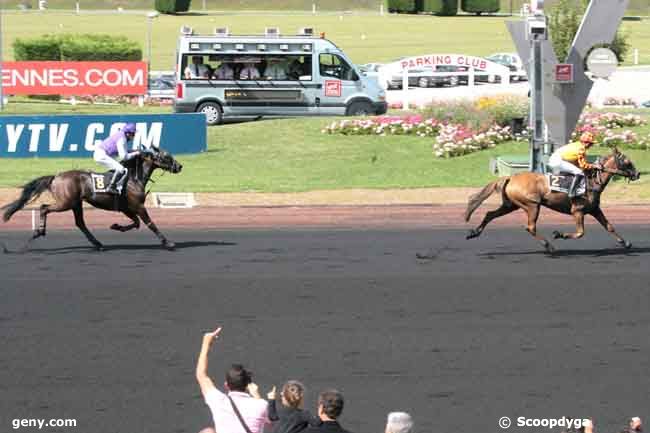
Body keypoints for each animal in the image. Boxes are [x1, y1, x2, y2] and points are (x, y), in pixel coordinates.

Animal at [2, 148, 181, 251]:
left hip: (76, 203)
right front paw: (168, 243)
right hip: (65, 203)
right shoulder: (138, 206)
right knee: (44, 207)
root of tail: (56, 177)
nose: (180, 166)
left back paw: (97, 244)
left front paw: (116, 226)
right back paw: (40, 230)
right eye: (166, 156)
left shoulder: (126, 208)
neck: (132, 178)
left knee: (80, 223)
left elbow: (136, 223)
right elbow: (150, 223)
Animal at [464, 148, 640, 253]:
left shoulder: (594, 210)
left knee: (490, 214)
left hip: (511, 205)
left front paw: (626, 243)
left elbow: (609, 226)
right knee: (530, 227)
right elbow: (580, 233)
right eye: (627, 162)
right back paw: (549, 245)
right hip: (532, 205)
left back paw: (474, 233)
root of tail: (510, 177)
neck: (591, 182)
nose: (637, 174)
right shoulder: (577, 211)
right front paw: (559, 234)